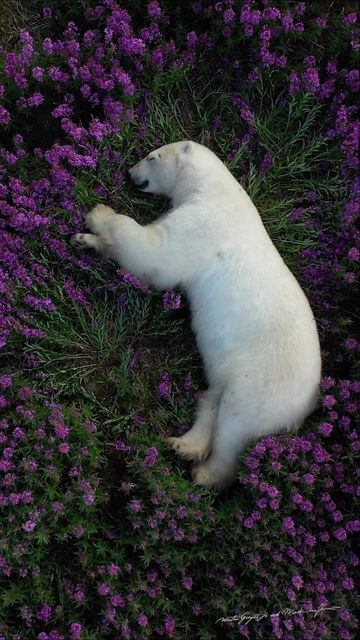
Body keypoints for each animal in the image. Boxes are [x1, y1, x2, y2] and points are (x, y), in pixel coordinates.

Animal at [70, 140, 320, 490]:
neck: (215, 189)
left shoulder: (202, 224)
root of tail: (309, 405)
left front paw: (98, 214)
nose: (130, 173)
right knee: (212, 399)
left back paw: (205, 473)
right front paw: (84, 240)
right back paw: (184, 444)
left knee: (235, 425)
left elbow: (155, 254)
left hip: (263, 384)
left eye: (152, 156)